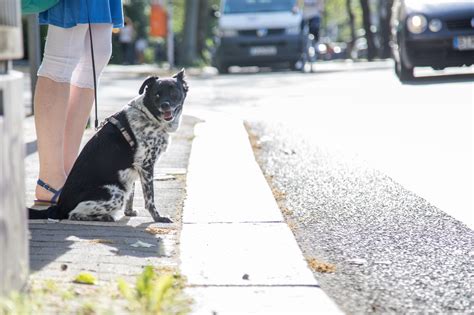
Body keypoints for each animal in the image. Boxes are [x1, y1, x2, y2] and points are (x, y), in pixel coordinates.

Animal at [29, 69, 189, 222]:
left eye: (174, 93)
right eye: (157, 95)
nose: (165, 105)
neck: (149, 115)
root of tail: (58, 207)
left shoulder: (134, 169)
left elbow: (132, 193)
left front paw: (129, 212)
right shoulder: (146, 166)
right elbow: (150, 199)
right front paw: (158, 217)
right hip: (116, 193)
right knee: (73, 214)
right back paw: (105, 217)